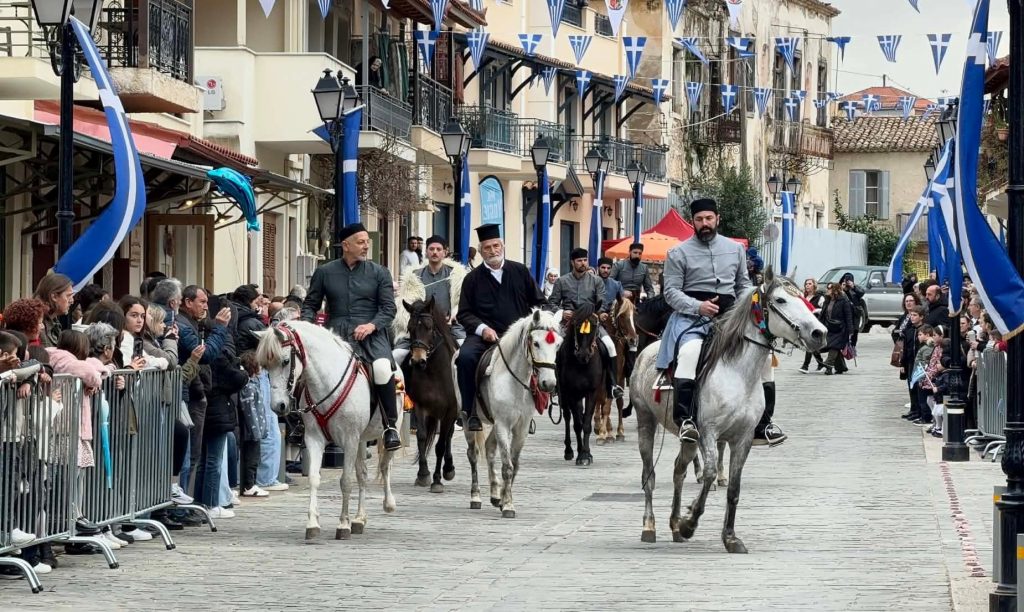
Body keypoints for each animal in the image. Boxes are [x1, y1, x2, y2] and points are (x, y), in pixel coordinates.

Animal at [255, 321, 402, 541]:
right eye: (265, 365)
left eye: (285, 361)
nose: (278, 406)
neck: (326, 383)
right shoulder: (315, 439)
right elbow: (314, 478)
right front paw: (313, 523)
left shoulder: (349, 440)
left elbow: (346, 481)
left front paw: (343, 524)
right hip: (361, 440)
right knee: (363, 474)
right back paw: (359, 518)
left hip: (386, 432)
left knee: (385, 466)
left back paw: (388, 503)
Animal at [400, 297, 459, 493]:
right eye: (410, 328)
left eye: (429, 327)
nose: (418, 361)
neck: (434, 373)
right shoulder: (421, 406)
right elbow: (422, 437)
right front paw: (423, 474)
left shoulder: (451, 410)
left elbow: (440, 444)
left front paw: (436, 480)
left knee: (448, 436)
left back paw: (448, 469)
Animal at [464, 309, 563, 517]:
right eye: (536, 343)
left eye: (558, 345)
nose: (549, 384)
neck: (515, 381)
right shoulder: (502, 424)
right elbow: (507, 466)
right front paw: (508, 505)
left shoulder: (521, 427)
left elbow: (514, 465)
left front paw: (503, 499)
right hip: (467, 419)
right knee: (473, 454)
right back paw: (475, 496)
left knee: (489, 448)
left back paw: (494, 494)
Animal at [594, 296, 637, 443]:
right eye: (622, 316)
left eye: (634, 315)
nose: (633, 339)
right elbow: (602, 402)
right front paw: (602, 431)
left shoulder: (617, 377)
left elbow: (612, 403)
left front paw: (610, 432)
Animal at [630, 268, 826, 552]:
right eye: (780, 300)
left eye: (803, 297)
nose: (819, 333)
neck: (738, 374)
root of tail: (647, 350)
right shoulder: (709, 434)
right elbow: (710, 473)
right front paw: (690, 523)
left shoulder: (742, 439)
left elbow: (734, 488)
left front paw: (730, 537)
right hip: (646, 422)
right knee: (649, 474)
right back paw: (650, 526)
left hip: (688, 439)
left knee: (679, 470)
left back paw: (675, 525)